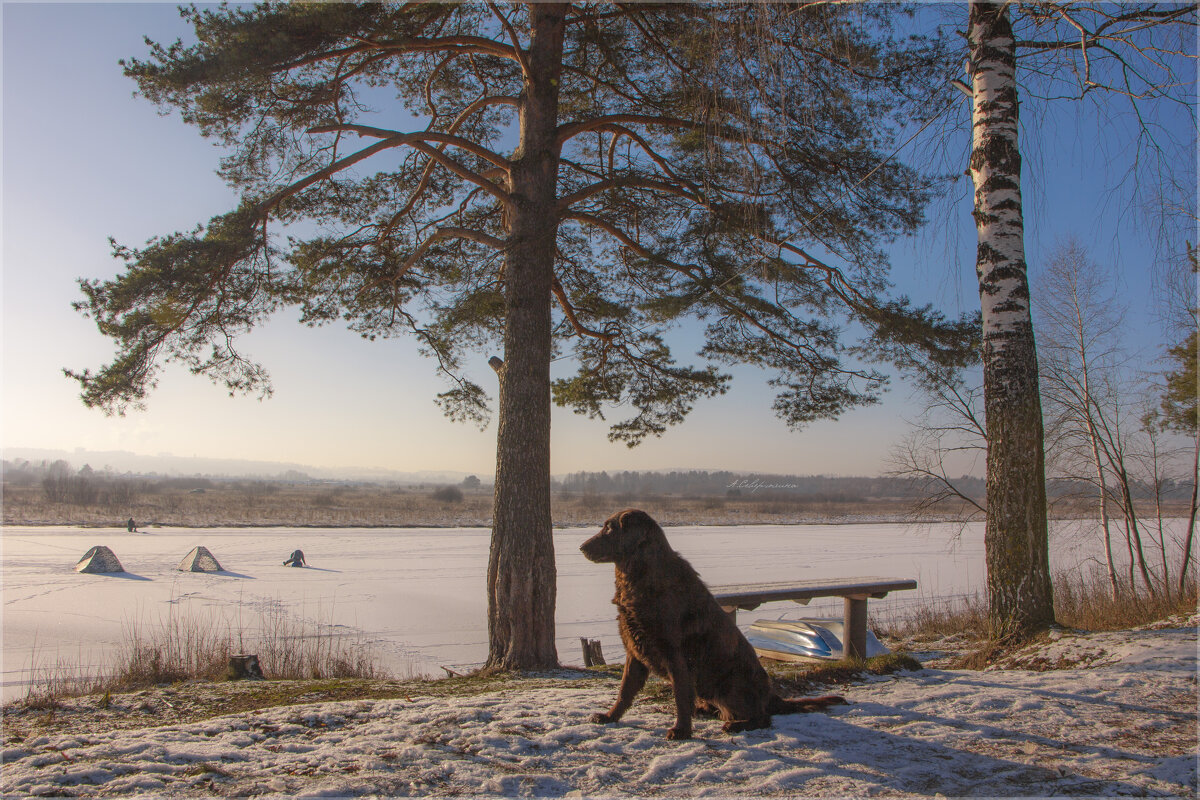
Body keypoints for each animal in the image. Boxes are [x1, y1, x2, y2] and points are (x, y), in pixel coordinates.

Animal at [578, 510, 844, 743]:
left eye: (609, 528)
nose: (581, 547)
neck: (640, 578)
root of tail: (771, 696)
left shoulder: (675, 654)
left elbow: (680, 696)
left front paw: (681, 730)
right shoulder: (634, 650)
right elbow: (624, 692)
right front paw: (609, 716)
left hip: (730, 682)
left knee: (762, 718)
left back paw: (735, 724)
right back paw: (705, 710)